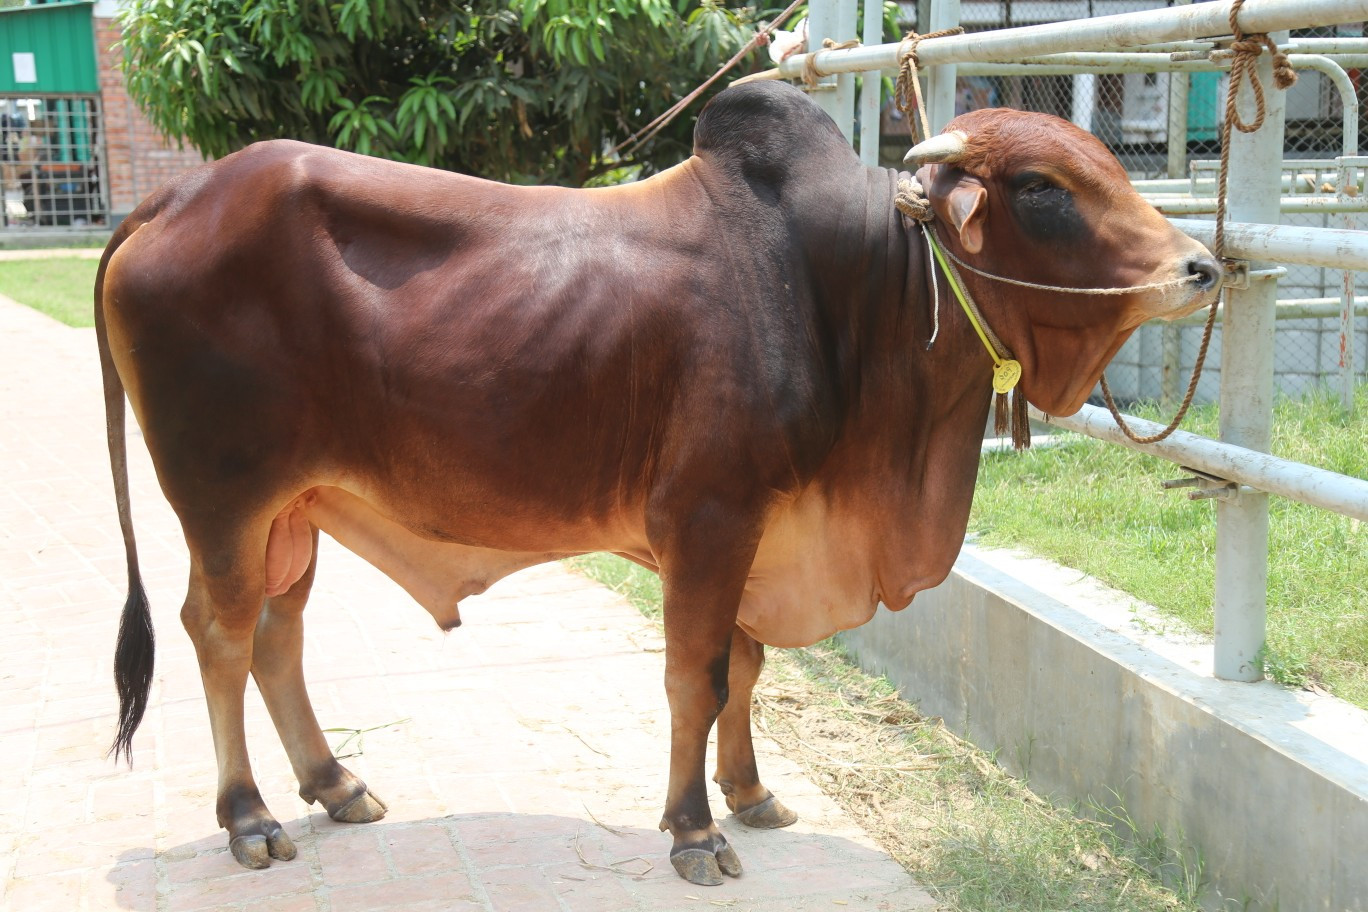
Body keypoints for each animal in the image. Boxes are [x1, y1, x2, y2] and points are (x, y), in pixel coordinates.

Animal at [97, 80, 1220, 887]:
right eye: (1042, 186)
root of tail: (175, 196)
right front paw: (693, 831)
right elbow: (699, 675)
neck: (853, 288)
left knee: (279, 634)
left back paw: (334, 785)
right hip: (224, 498)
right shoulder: (710, 515)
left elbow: (748, 664)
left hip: (295, 510)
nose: (1202, 266)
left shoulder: (760, 524)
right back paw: (250, 817)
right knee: (219, 635)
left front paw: (751, 794)